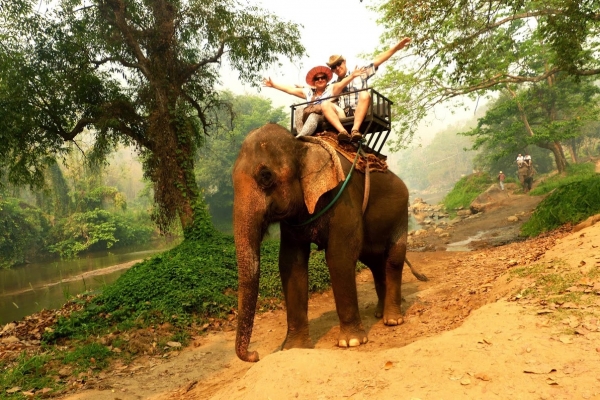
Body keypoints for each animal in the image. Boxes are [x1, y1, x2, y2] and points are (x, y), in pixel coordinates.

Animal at [231, 122, 418, 362]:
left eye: (265, 176)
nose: (255, 355)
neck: (303, 145)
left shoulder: (344, 196)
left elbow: (339, 256)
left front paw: (351, 342)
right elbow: (291, 263)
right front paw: (294, 348)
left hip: (401, 214)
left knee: (393, 260)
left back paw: (392, 320)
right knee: (375, 263)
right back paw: (379, 313)